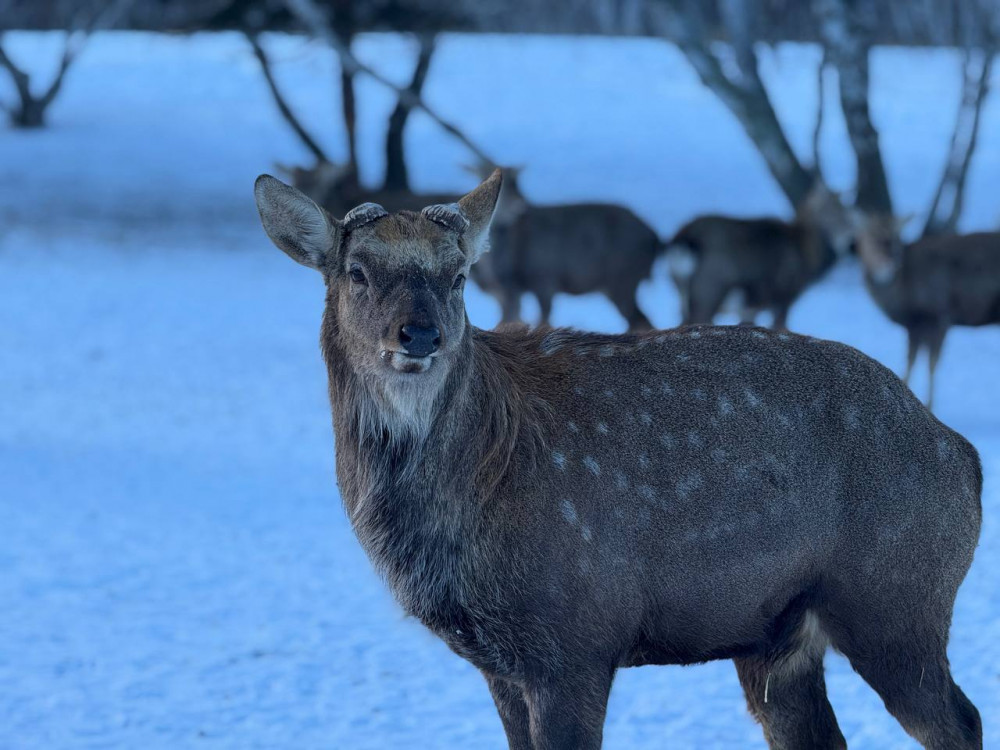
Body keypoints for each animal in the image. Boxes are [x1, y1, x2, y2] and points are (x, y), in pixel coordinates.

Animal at [668, 184, 856, 330]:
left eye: (844, 209)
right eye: (834, 211)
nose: (850, 238)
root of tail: (684, 240)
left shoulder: (753, 305)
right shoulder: (784, 296)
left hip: (683, 291)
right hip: (710, 288)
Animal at [852, 212, 1000, 412]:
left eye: (897, 235)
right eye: (872, 235)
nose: (892, 259)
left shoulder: (938, 315)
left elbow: (930, 362)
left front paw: (929, 404)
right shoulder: (916, 324)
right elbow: (912, 359)